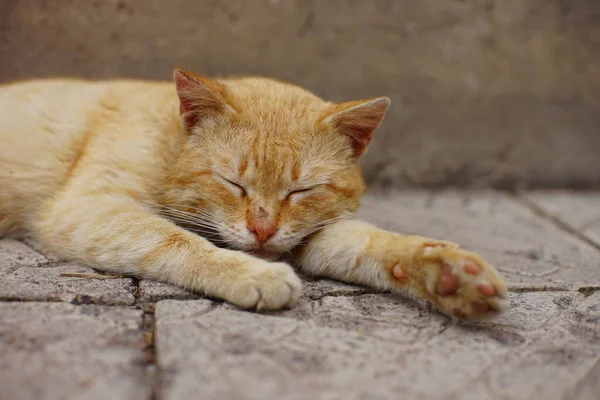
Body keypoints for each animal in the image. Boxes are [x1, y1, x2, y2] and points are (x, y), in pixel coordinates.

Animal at [0, 69, 508, 318]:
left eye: (302, 189)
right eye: (233, 182)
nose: (262, 230)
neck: (169, 141)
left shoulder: (310, 234)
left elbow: (370, 244)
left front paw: (446, 274)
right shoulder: (87, 207)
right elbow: (176, 240)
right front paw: (252, 274)